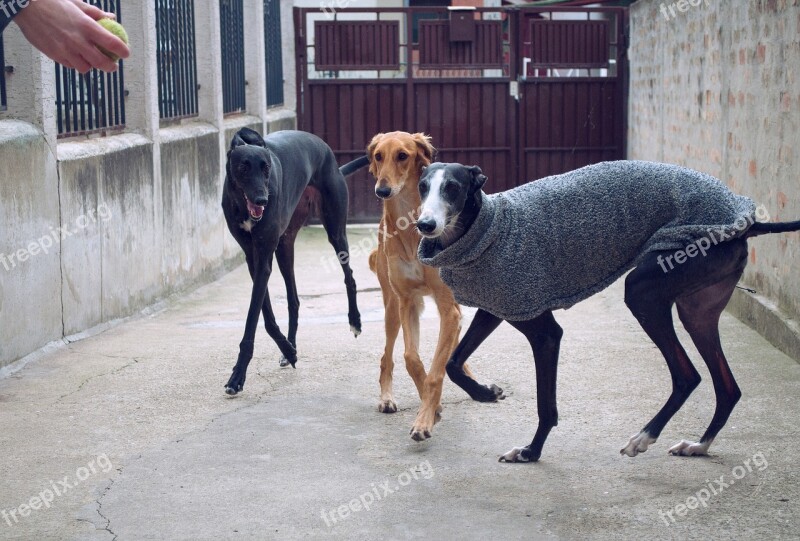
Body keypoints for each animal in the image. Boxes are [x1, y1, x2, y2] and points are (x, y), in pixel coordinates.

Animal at [220, 129, 368, 394]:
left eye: (266, 167)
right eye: (244, 167)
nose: (262, 200)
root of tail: (326, 149)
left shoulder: (263, 258)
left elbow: (253, 318)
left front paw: (237, 377)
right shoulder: (253, 258)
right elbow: (266, 316)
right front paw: (288, 351)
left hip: (335, 230)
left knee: (349, 276)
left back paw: (355, 321)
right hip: (284, 246)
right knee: (294, 300)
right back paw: (290, 346)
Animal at [368, 131, 468, 438]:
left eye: (403, 155)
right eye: (378, 156)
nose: (382, 190)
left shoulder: (449, 306)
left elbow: (437, 371)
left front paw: (426, 417)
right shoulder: (406, 302)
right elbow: (411, 357)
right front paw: (431, 409)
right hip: (390, 309)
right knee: (387, 356)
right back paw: (387, 398)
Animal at [416, 159, 796, 460]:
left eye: (452, 188)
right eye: (422, 187)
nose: (425, 225)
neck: (488, 229)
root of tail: (746, 221)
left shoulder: (545, 333)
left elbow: (545, 405)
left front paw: (531, 452)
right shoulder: (498, 308)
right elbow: (452, 363)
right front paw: (484, 393)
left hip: (644, 291)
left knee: (688, 375)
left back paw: (643, 438)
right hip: (697, 312)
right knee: (728, 388)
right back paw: (698, 446)